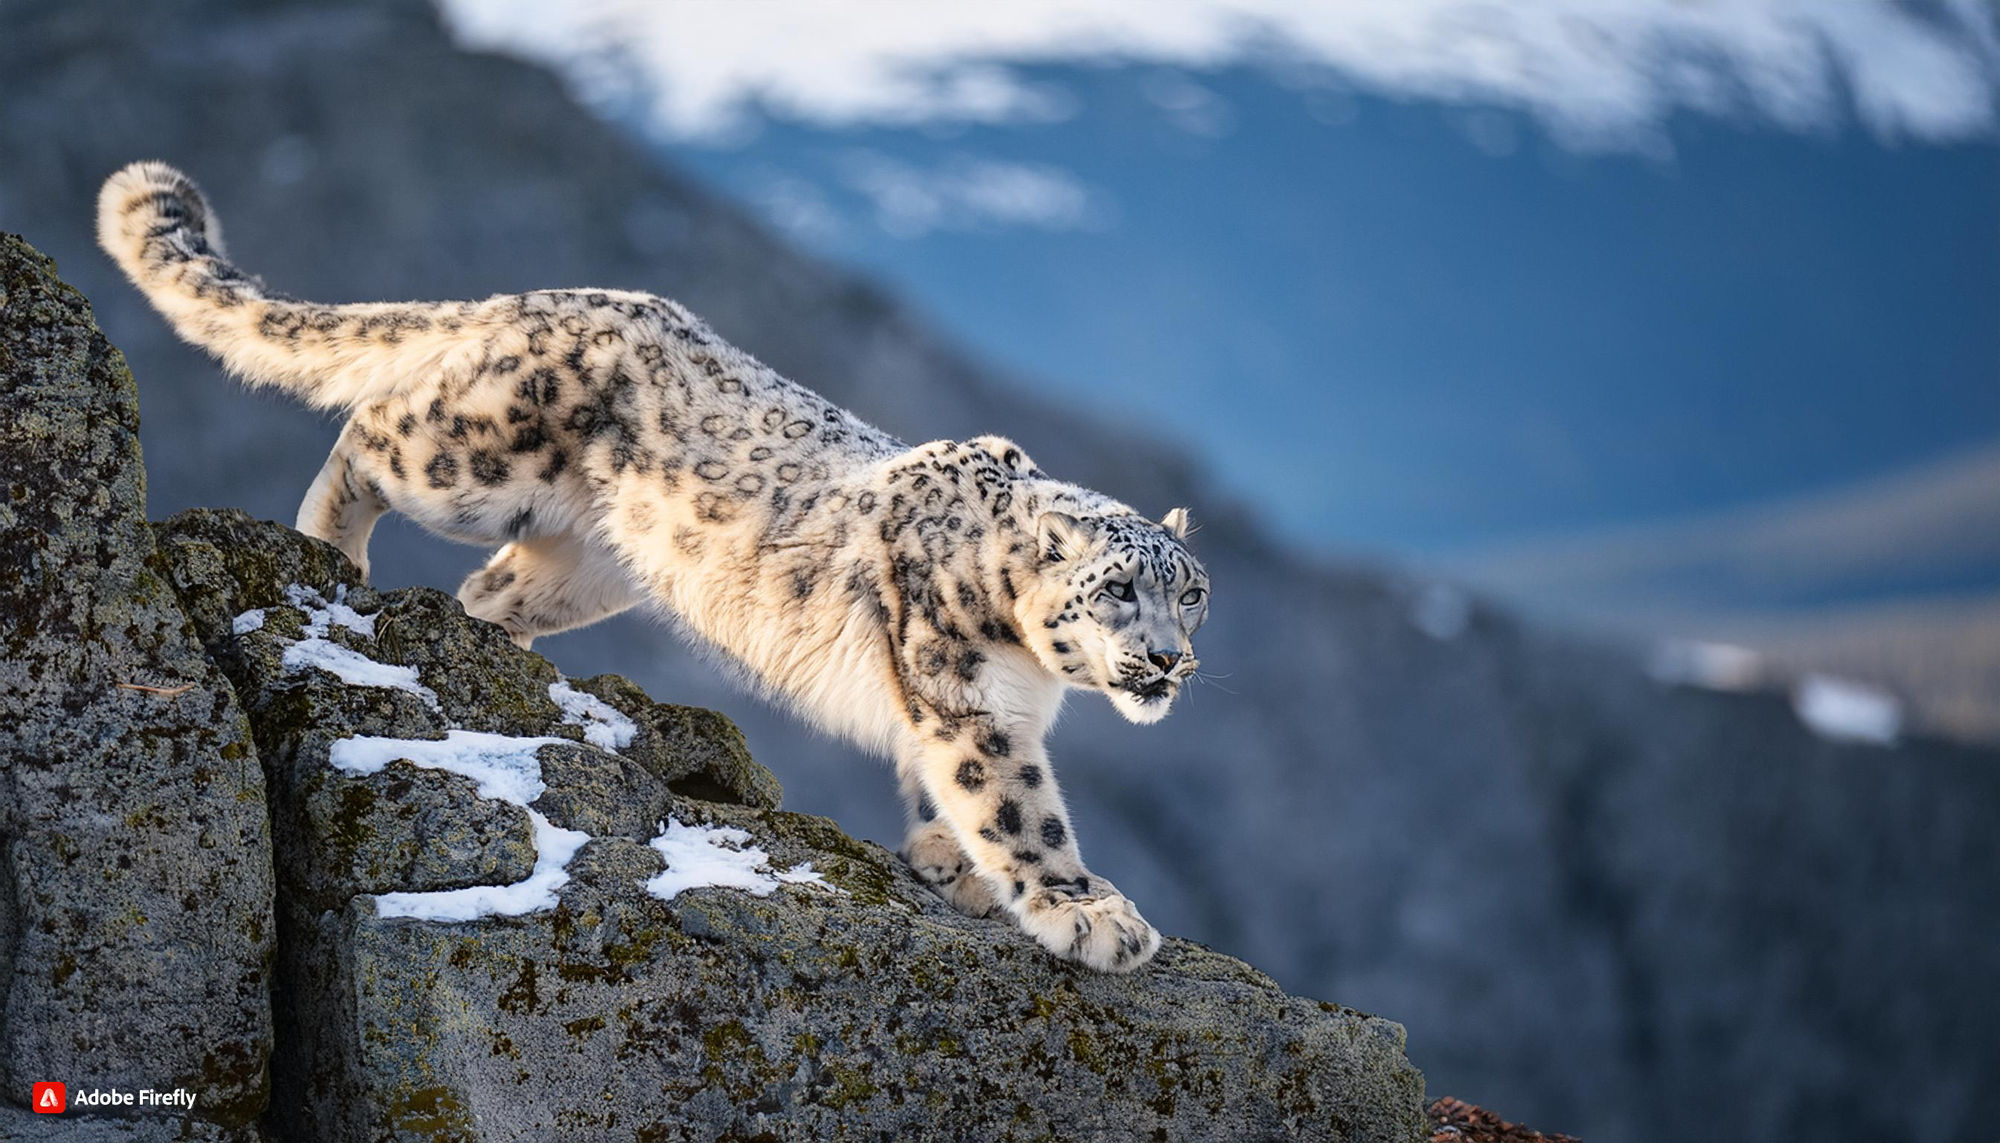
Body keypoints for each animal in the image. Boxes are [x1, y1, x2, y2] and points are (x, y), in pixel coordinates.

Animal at [97, 160, 1210, 972]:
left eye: (1192, 595)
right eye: (1118, 588)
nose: (1168, 662)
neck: (1035, 675)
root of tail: (540, 296)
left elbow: (951, 789)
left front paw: (951, 861)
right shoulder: (964, 697)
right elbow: (1015, 802)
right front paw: (1087, 912)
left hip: (587, 564)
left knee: (490, 585)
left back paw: (499, 651)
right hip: (473, 460)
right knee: (373, 430)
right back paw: (331, 547)